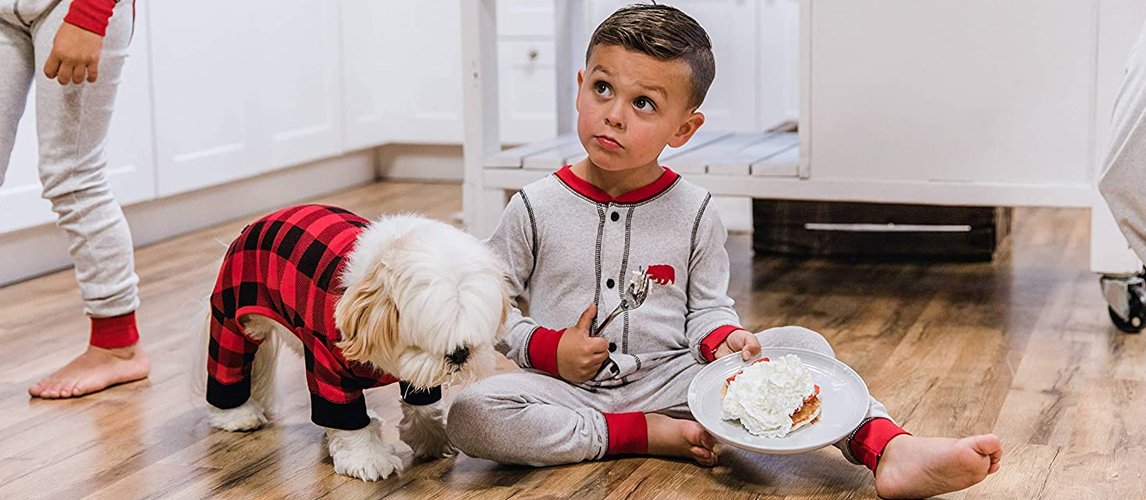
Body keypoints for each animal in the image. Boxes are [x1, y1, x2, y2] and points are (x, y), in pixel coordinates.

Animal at [194, 213, 508, 481]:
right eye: (432, 336)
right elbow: (344, 414)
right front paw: (367, 459)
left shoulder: (419, 372)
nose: (460, 355)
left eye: (471, 338)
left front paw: (431, 438)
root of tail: (251, 226)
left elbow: (423, 404)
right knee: (227, 362)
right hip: (234, 319)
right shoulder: (327, 366)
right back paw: (236, 414)